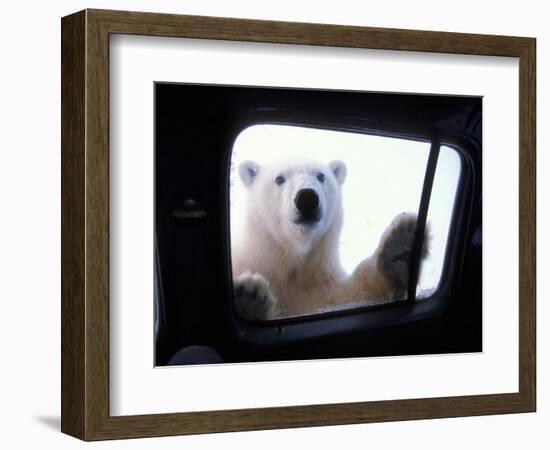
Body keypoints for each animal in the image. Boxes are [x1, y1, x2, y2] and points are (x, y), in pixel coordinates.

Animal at [233, 158, 432, 320]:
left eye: (321, 176)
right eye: (279, 179)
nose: (307, 198)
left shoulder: (318, 283)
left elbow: (347, 297)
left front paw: (400, 248)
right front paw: (249, 294)